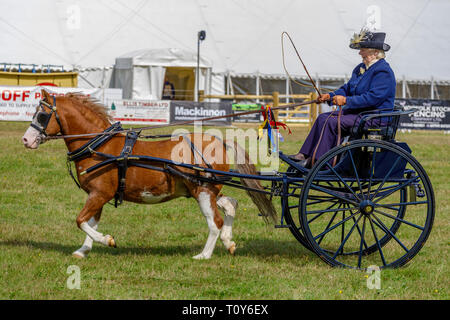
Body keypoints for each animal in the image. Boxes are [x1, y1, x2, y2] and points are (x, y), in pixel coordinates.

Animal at [22, 90, 278, 260]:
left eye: (41, 115)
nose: (26, 139)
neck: (100, 146)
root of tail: (220, 141)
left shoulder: (100, 193)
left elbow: (81, 220)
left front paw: (107, 240)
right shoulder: (99, 195)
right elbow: (90, 222)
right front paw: (83, 250)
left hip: (203, 191)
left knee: (215, 221)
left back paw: (204, 255)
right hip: (208, 189)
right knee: (231, 204)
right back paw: (228, 241)